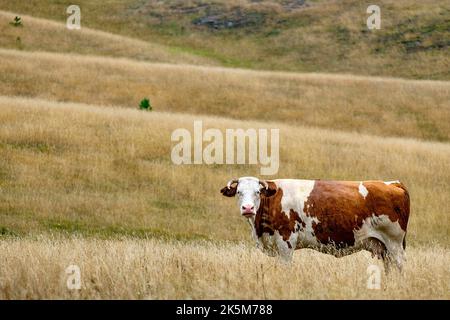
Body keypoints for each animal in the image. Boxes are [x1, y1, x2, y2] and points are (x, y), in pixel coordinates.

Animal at [221, 176, 412, 272]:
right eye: (238, 192)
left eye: (257, 192)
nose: (248, 208)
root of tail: (393, 183)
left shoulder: (286, 241)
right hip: (383, 246)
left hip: (394, 243)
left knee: (399, 266)